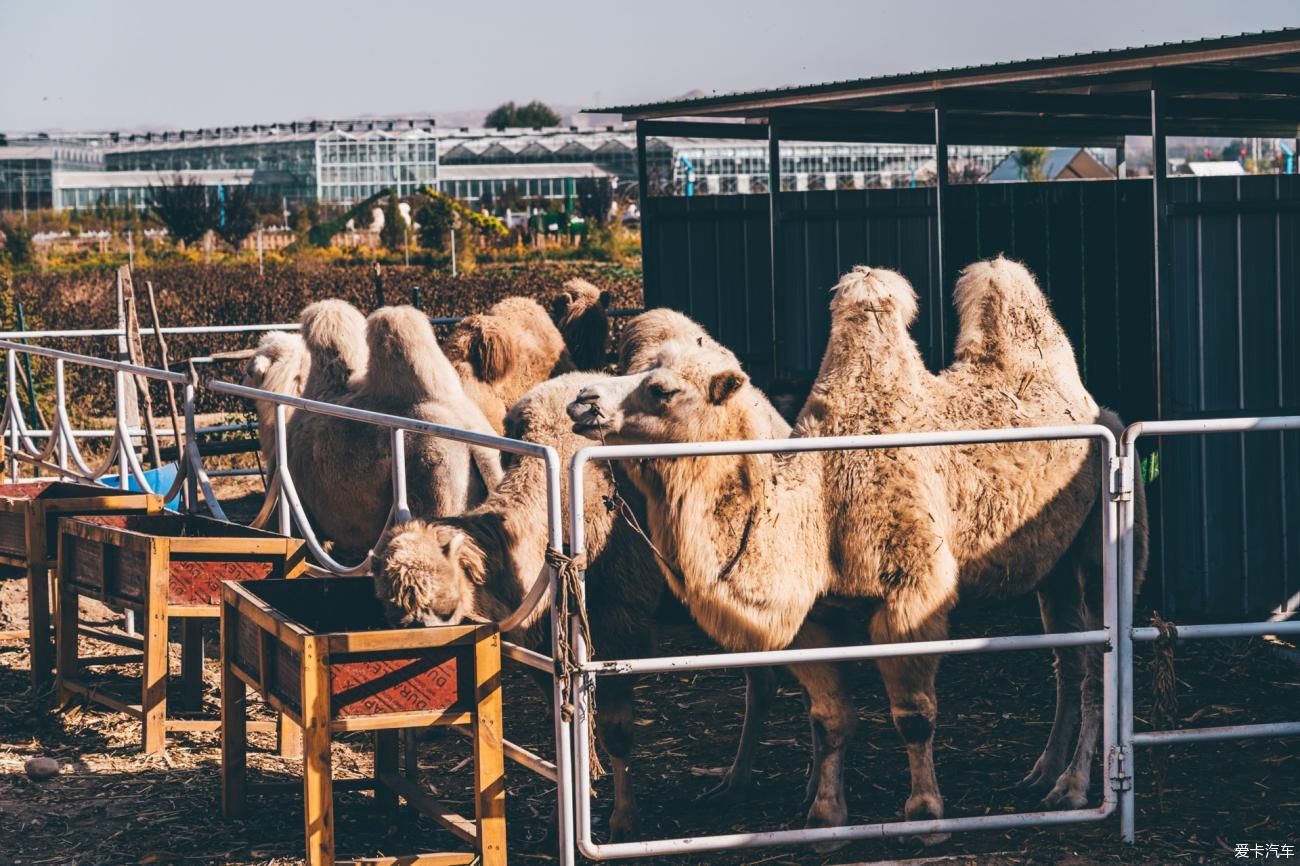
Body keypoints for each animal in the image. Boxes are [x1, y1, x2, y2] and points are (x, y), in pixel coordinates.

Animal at [569, 256, 1149, 842]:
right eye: (632, 369)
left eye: (661, 390)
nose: (583, 401)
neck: (817, 501)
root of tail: (1092, 404)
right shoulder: (815, 616)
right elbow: (831, 719)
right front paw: (825, 815)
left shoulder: (911, 596)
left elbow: (913, 714)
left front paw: (926, 814)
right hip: (1053, 564)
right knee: (1068, 658)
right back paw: (1042, 771)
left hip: (1105, 539)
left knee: (1099, 660)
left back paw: (1072, 787)